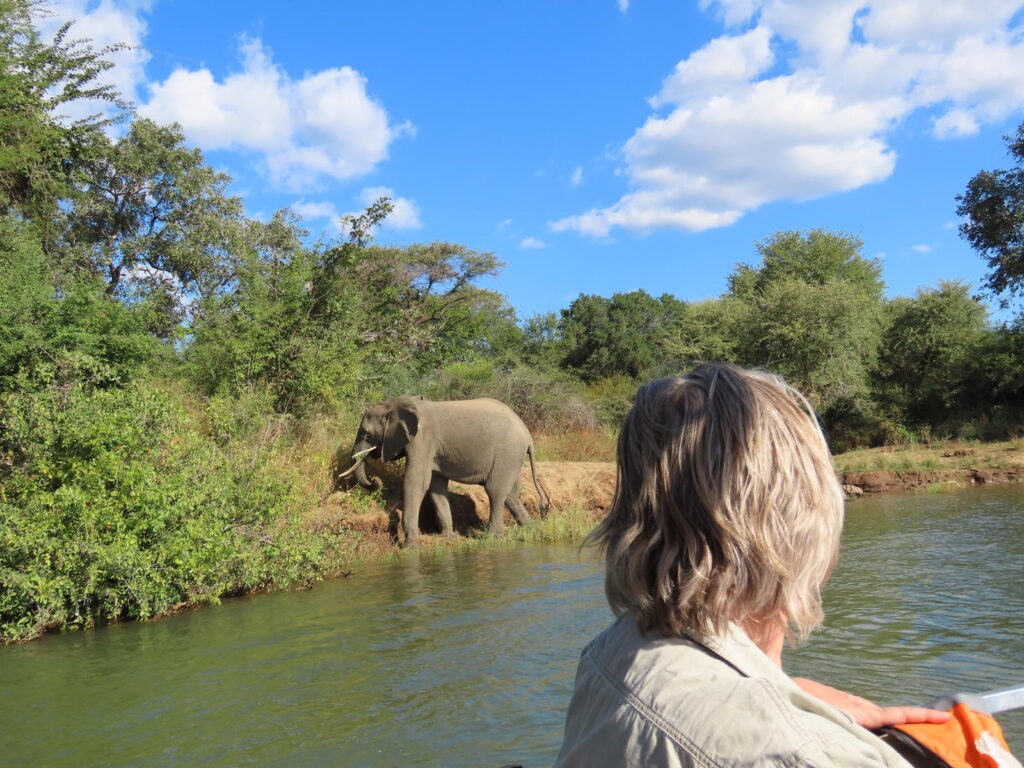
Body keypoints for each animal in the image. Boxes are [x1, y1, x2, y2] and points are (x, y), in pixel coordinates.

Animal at [337, 397, 548, 548]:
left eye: (366, 434)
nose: (375, 479)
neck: (396, 404)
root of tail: (528, 436)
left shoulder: (422, 440)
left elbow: (416, 481)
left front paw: (410, 545)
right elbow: (436, 487)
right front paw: (448, 538)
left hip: (508, 452)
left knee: (495, 491)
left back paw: (491, 537)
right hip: (512, 456)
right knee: (510, 494)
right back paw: (530, 528)